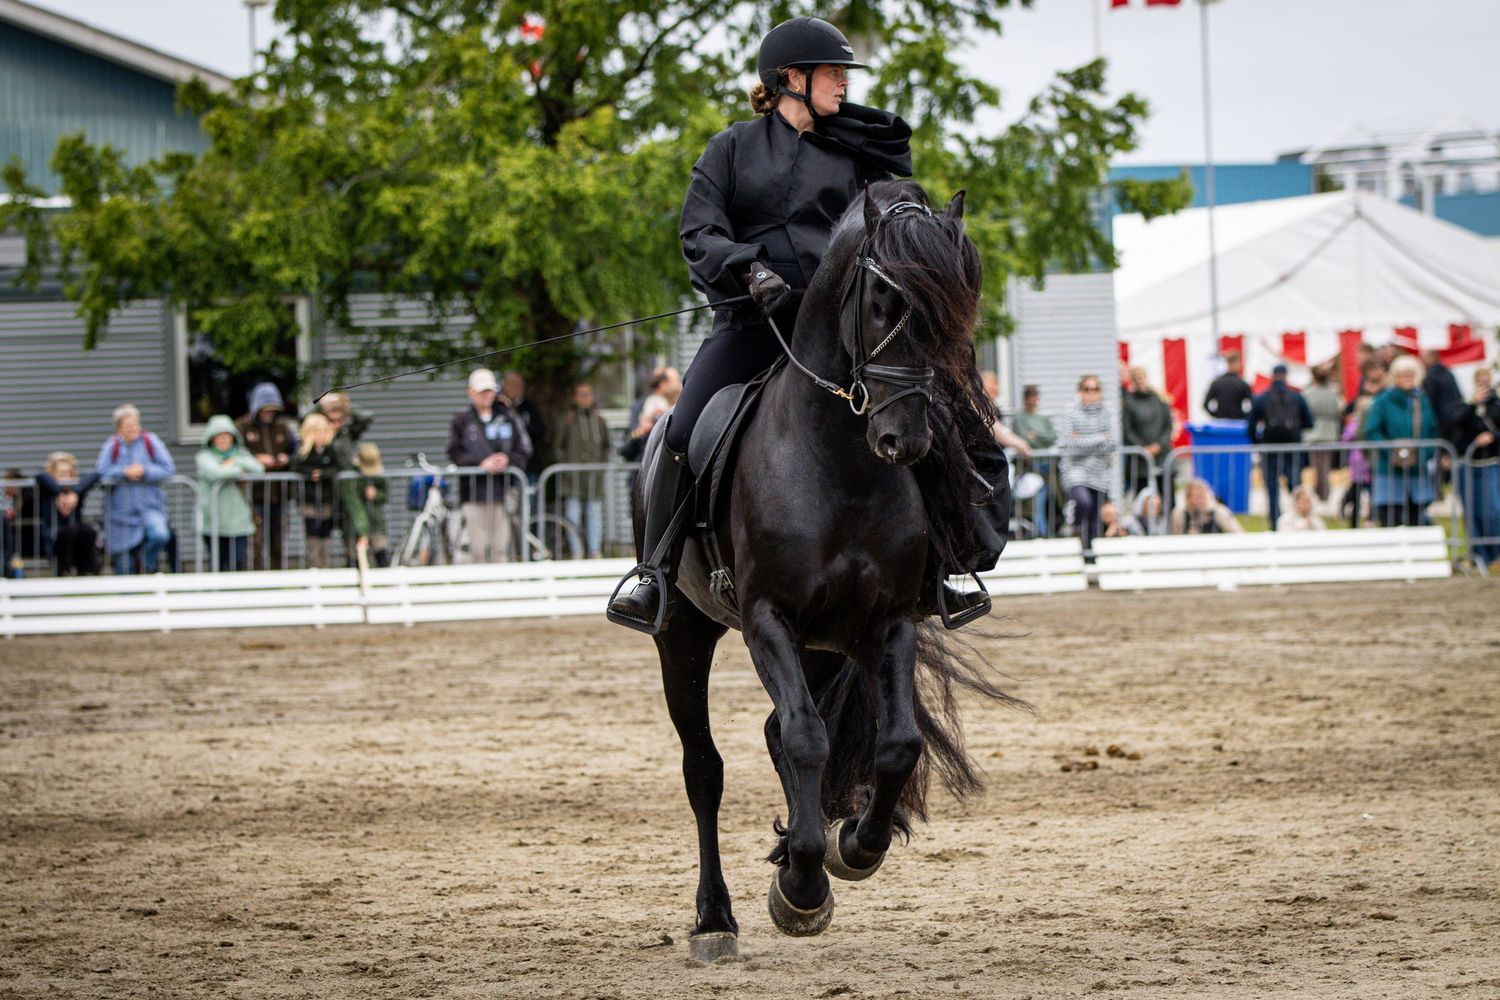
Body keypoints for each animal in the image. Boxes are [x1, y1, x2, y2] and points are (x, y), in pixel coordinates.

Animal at [637, 178, 1018, 962]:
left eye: (955, 306)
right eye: (882, 302)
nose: (905, 439)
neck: (838, 459)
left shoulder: (886, 622)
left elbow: (894, 745)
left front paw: (849, 849)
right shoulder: (767, 619)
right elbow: (808, 739)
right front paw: (807, 886)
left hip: (822, 647)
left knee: (779, 732)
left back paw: (794, 853)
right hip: (684, 635)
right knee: (706, 768)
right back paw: (715, 919)